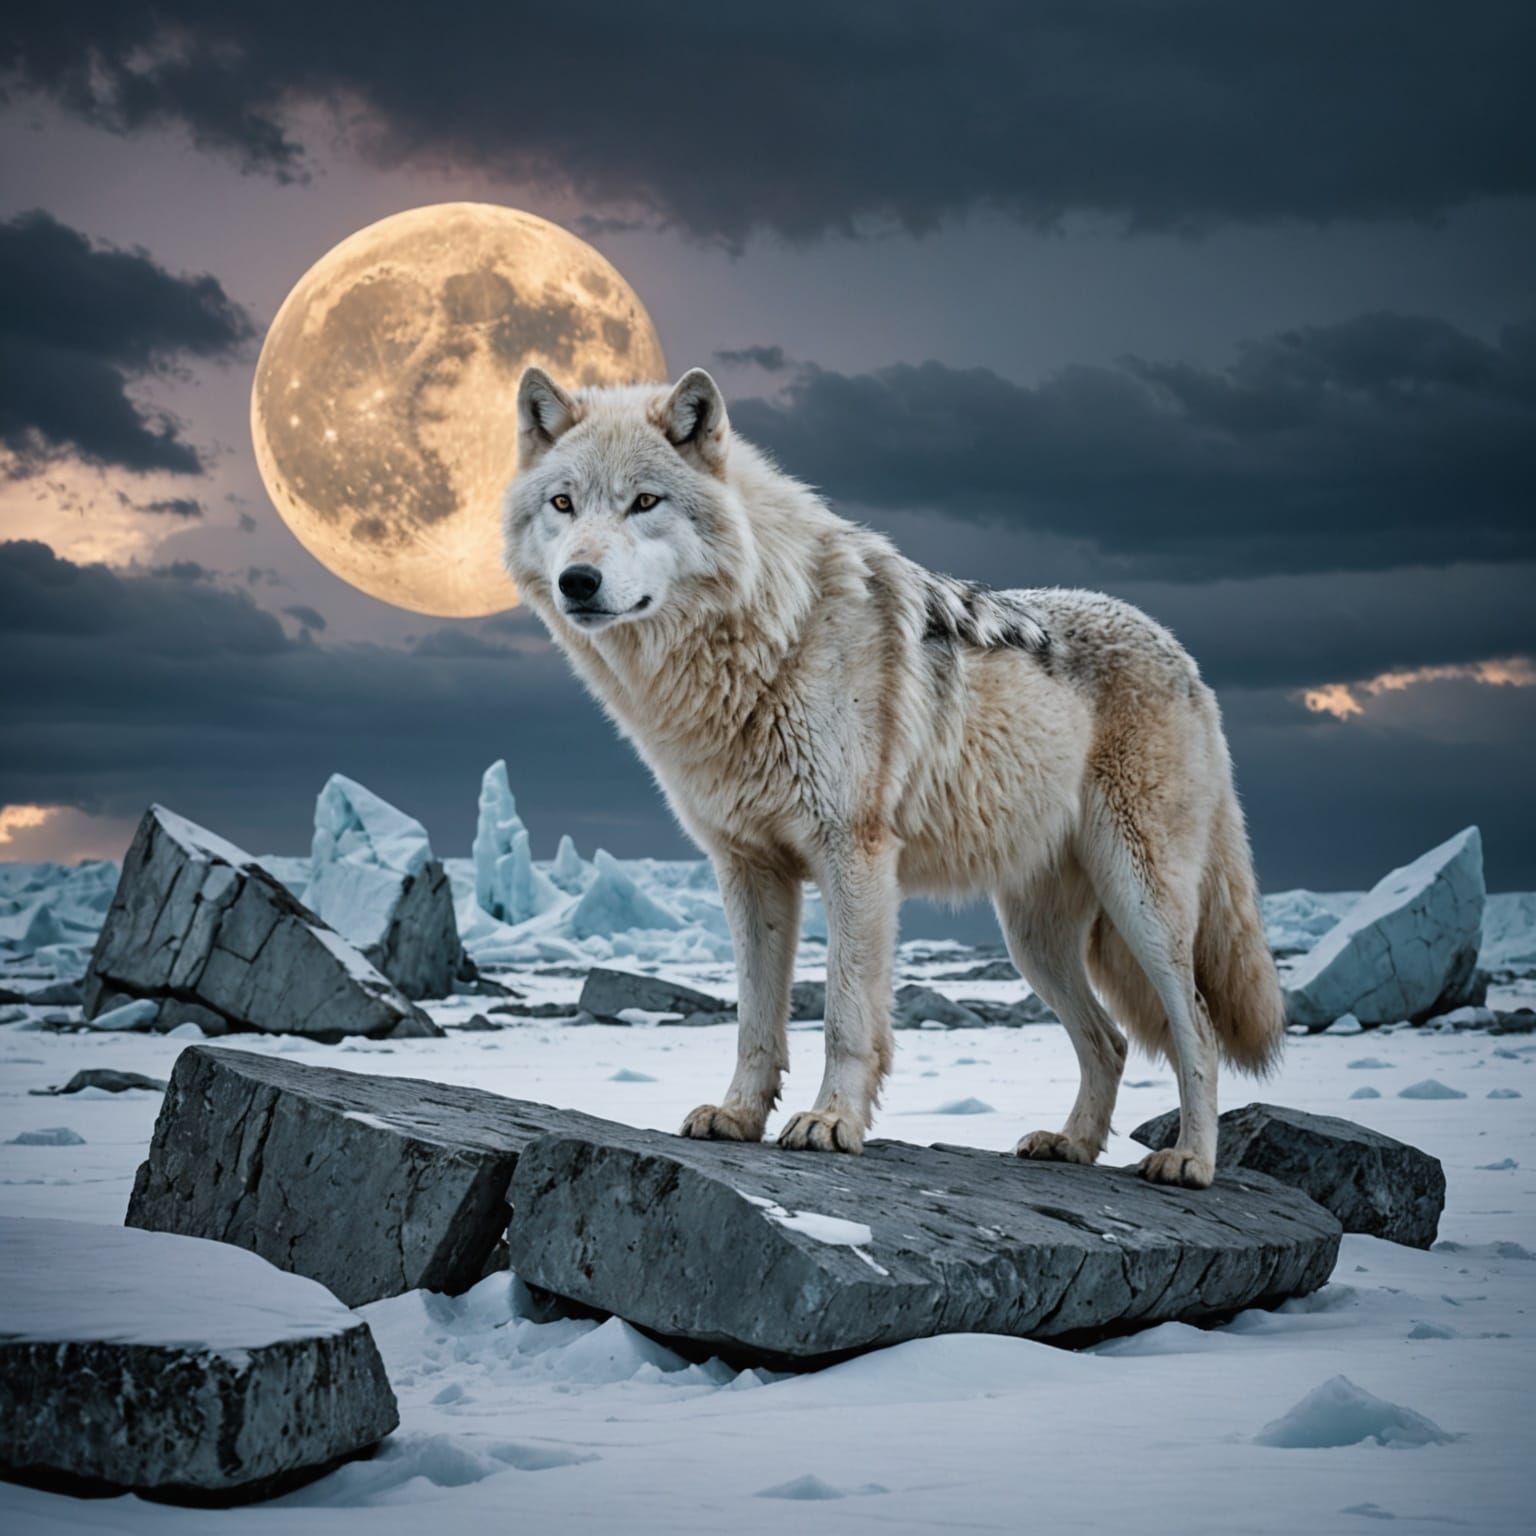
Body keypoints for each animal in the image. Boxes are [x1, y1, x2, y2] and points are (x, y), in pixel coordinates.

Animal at [502, 366, 1284, 1188]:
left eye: (645, 502)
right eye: (564, 504)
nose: (578, 580)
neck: (771, 633)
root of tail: (1182, 653)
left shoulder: (856, 855)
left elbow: (846, 1015)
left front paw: (831, 1121)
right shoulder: (747, 868)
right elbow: (755, 1019)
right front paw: (739, 1116)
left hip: (1142, 903)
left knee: (1196, 1027)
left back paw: (1189, 1159)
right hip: (1032, 940)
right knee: (1111, 1039)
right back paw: (1069, 1144)